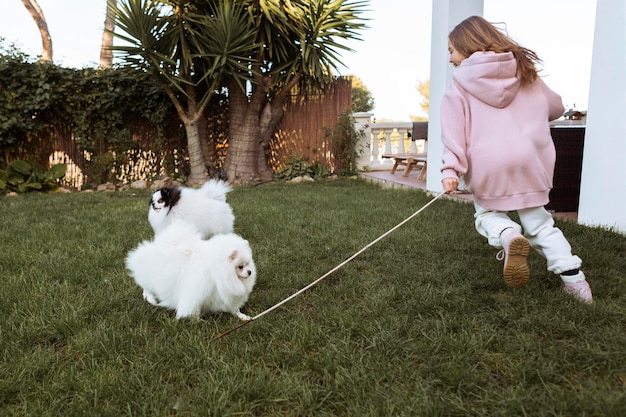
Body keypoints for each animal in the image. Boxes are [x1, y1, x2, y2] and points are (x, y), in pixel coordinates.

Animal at [126, 221, 256, 318]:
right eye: (240, 266)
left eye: (248, 264)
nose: (249, 272)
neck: (219, 272)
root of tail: (162, 243)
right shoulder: (197, 293)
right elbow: (194, 308)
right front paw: (197, 320)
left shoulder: (225, 295)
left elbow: (234, 309)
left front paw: (243, 316)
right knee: (146, 287)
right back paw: (151, 299)